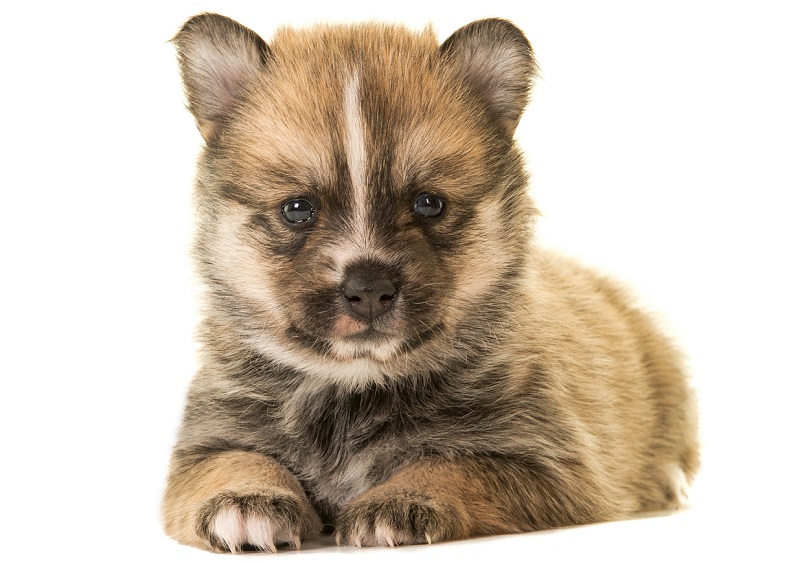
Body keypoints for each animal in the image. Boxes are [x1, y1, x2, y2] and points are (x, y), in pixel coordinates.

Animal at [164, 13, 700, 552]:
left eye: (429, 204)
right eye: (297, 209)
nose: (368, 289)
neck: (356, 385)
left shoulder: (543, 460)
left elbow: (452, 465)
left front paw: (398, 502)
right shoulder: (207, 442)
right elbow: (234, 460)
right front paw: (246, 499)